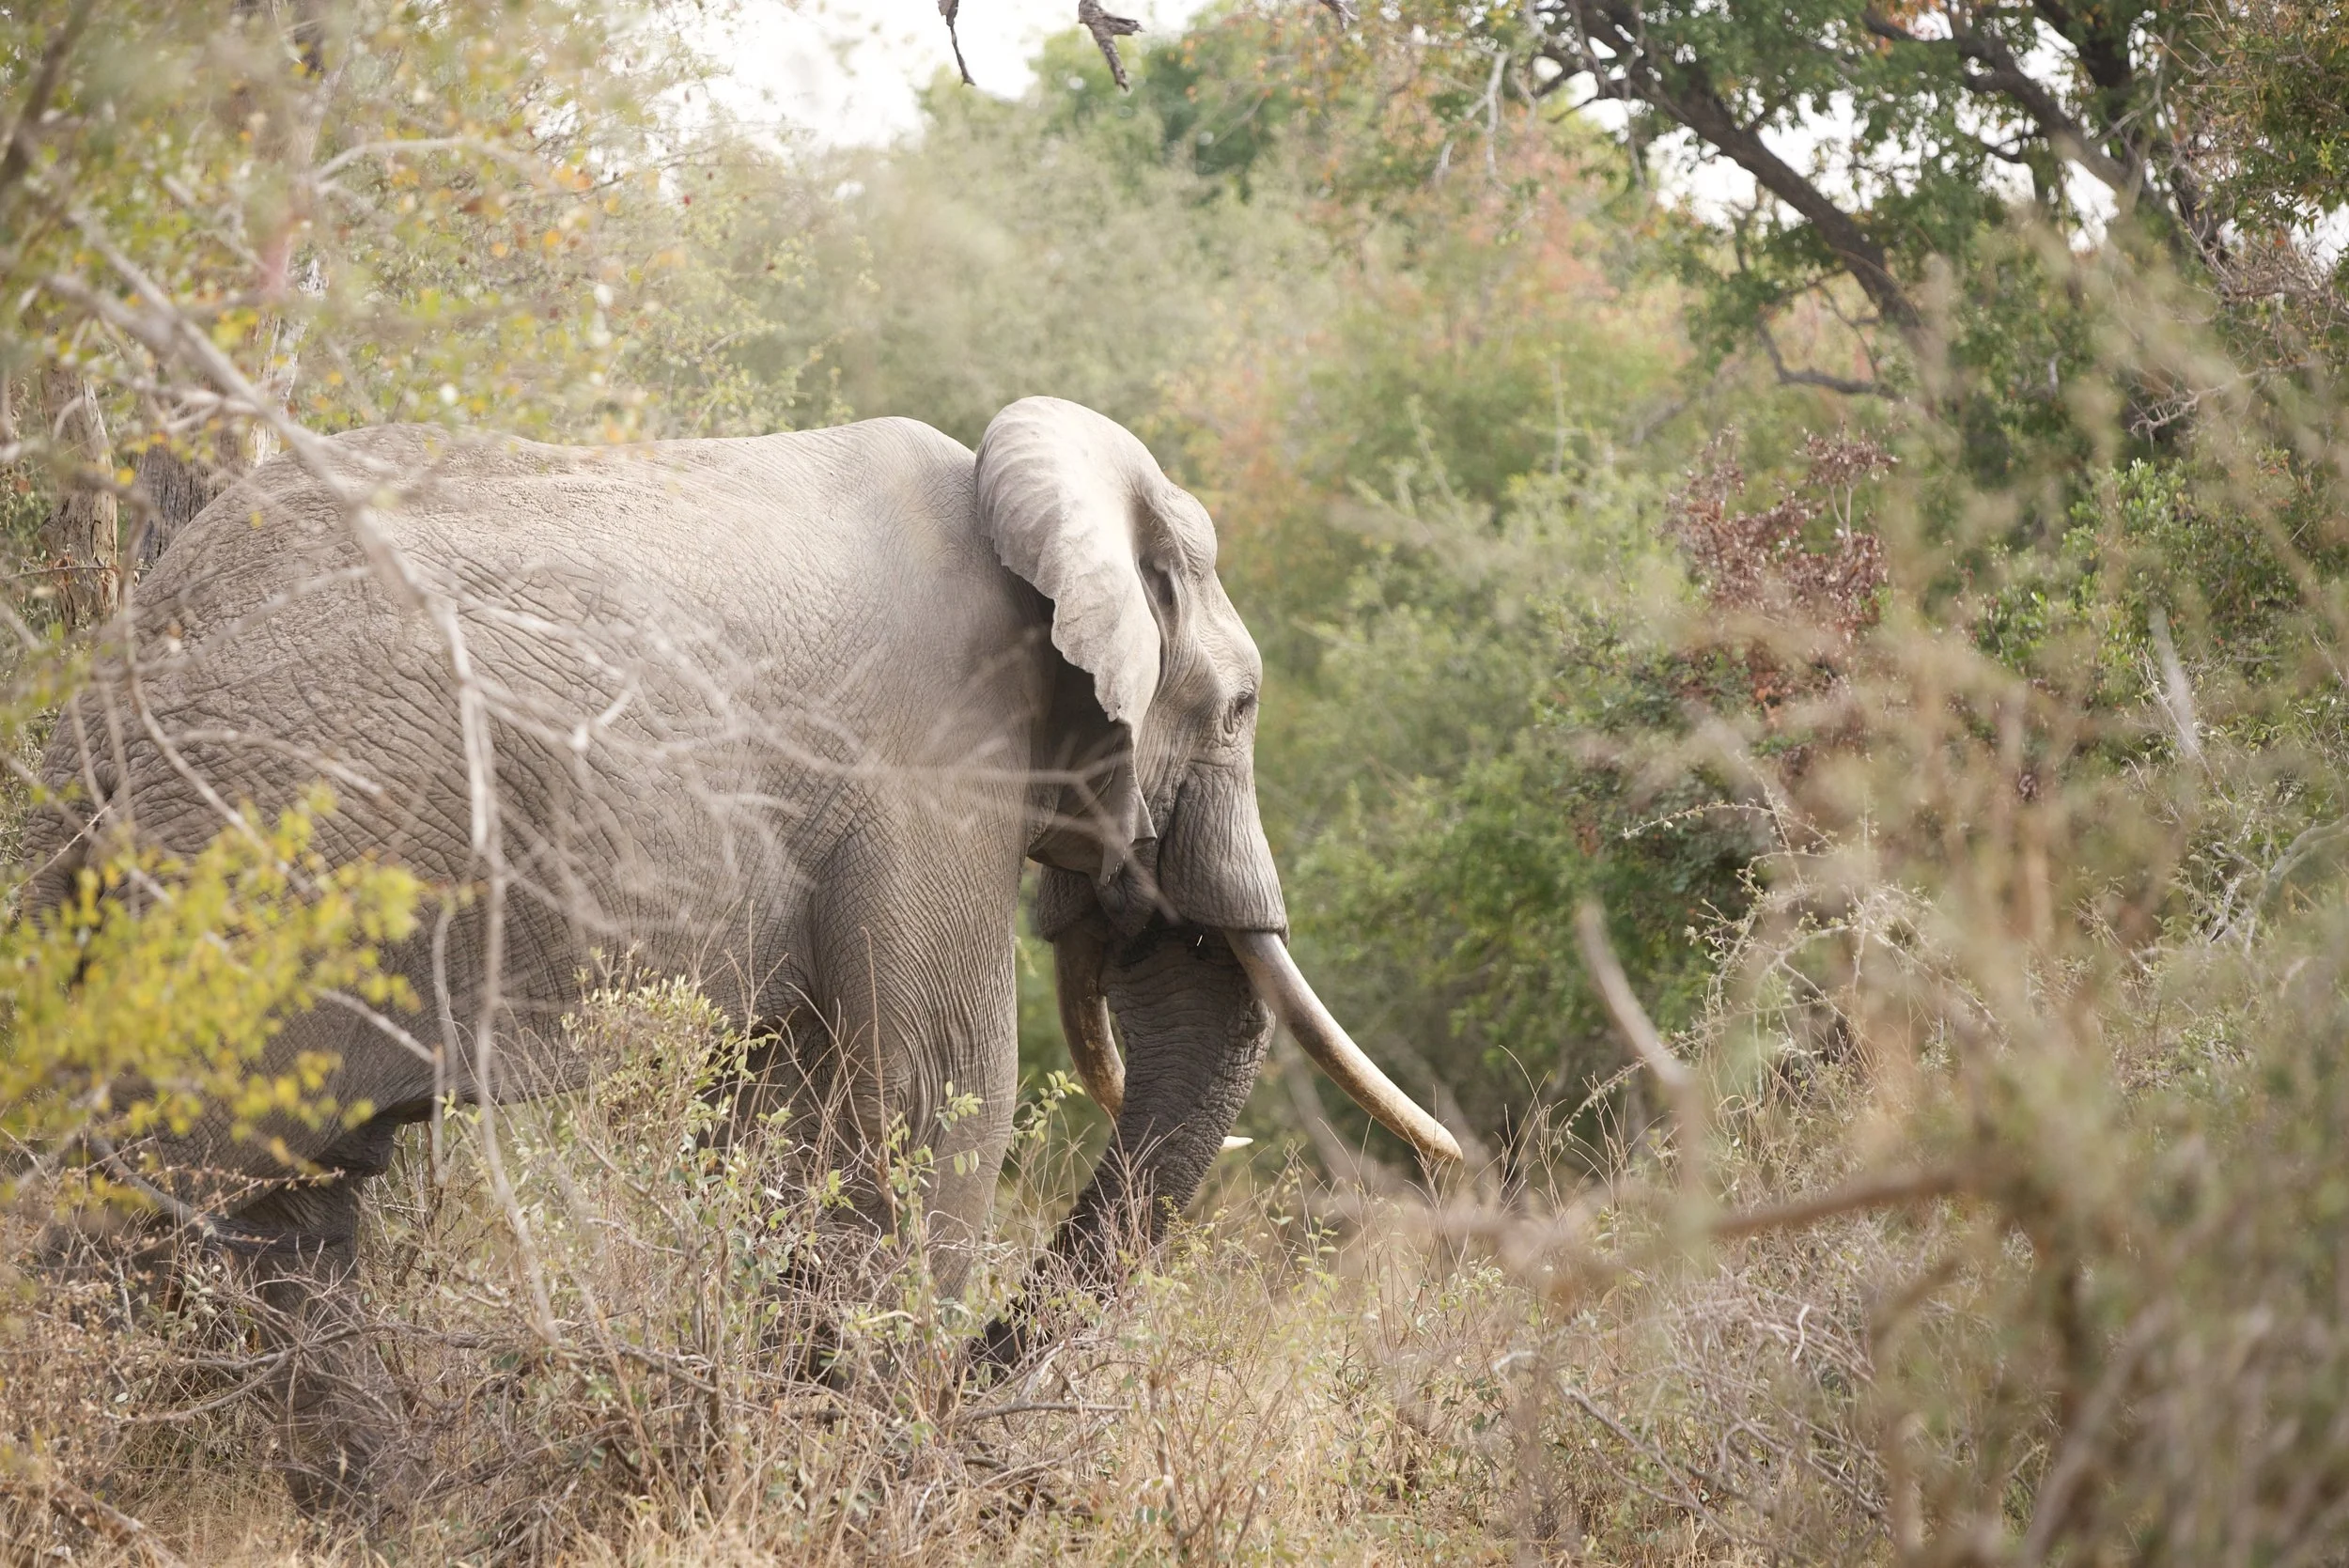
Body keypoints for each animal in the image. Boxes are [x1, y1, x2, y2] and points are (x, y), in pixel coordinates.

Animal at [20, 396, 1460, 1515]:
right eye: (1242, 707)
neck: (1027, 501)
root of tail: (102, 706)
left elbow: (782, 1106)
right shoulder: (928, 760)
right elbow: (940, 1085)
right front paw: (871, 1472)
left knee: (288, 1202)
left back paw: (398, 1510)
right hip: (275, 856)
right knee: (175, 1173)